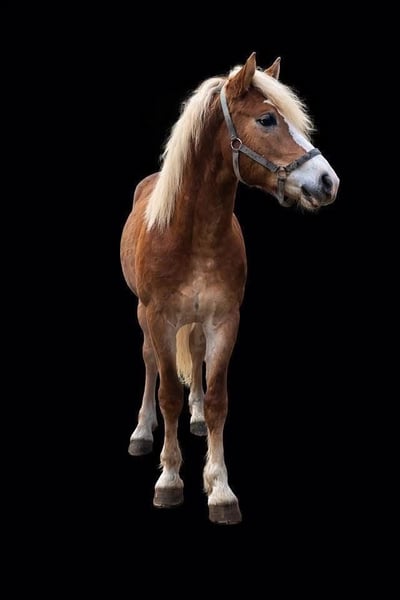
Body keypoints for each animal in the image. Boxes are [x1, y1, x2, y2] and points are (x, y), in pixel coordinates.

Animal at [120, 52, 339, 524]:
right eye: (267, 119)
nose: (328, 182)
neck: (192, 236)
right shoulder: (160, 319)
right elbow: (167, 393)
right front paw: (169, 480)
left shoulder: (224, 320)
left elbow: (219, 397)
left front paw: (219, 489)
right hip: (144, 316)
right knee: (149, 363)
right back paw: (142, 432)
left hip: (198, 323)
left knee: (196, 355)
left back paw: (197, 418)